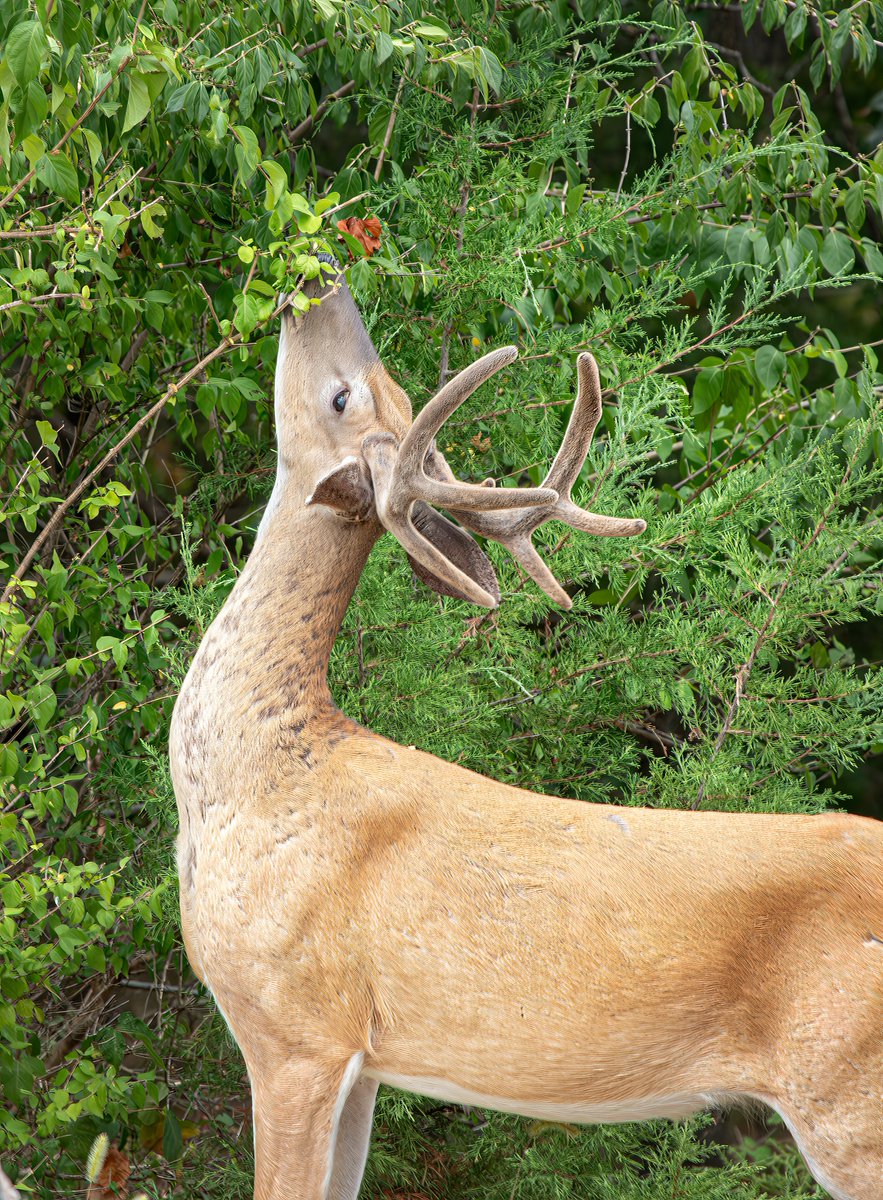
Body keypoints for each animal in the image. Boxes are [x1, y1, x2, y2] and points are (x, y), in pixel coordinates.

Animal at [169, 257, 883, 1200]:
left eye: (340, 398)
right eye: (378, 391)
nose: (321, 278)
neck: (253, 777)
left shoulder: (295, 1025)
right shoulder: (358, 1060)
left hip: (846, 1092)